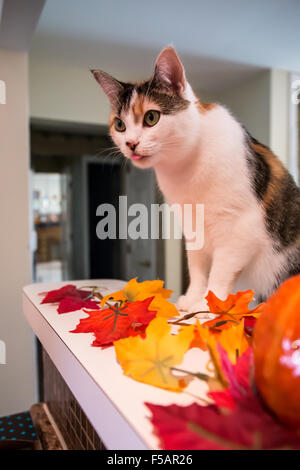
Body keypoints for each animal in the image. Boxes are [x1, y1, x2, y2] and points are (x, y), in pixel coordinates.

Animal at [91, 46, 300, 314]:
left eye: (151, 117)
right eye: (119, 125)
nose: (130, 144)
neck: (186, 165)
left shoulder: (240, 227)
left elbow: (220, 271)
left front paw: (211, 304)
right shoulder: (191, 226)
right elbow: (197, 267)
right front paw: (192, 299)